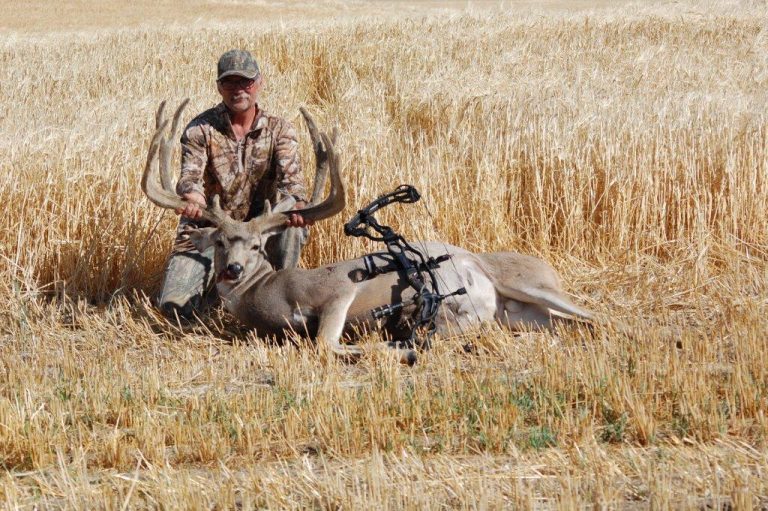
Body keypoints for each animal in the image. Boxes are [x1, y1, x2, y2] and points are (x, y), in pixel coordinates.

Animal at [143, 100, 596, 365]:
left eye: (256, 245)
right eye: (220, 242)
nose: (233, 269)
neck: (264, 293)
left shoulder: (338, 289)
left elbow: (324, 345)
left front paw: (395, 347)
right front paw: (400, 344)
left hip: (529, 284)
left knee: (594, 315)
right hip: (518, 316)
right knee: (568, 324)